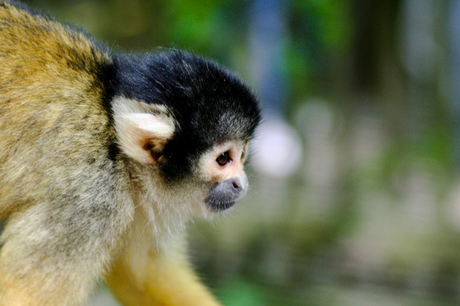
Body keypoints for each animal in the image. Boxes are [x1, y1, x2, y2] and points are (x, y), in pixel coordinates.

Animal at [0, 1, 260, 304]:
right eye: (223, 159)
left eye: (241, 156)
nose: (241, 183)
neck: (118, 150)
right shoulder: (90, 199)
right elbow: (18, 294)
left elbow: (141, 275)